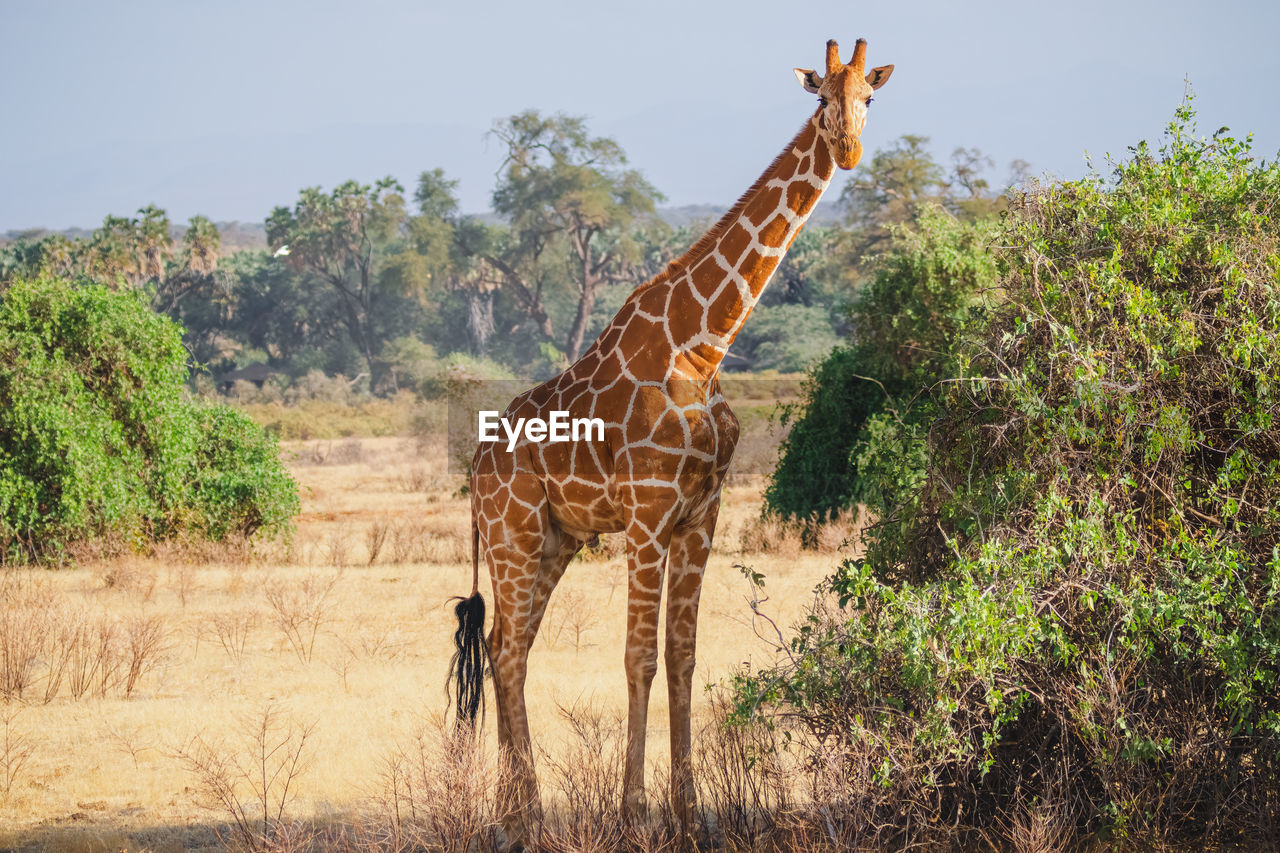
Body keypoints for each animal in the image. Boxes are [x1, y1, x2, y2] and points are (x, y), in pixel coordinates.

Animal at [455, 38, 896, 845]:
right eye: (821, 98)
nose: (848, 149)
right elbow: (639, 658)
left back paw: (517, 815)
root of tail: (476, 464)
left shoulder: (700, 512)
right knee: (507, 650)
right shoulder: (649, 512)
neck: (705, 344)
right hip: (513, 532)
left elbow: (685, 656)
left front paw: (692, 817)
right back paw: (519, 816)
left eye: (869, 99)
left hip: (556, 538)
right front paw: (633, 816)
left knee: (509, 646)